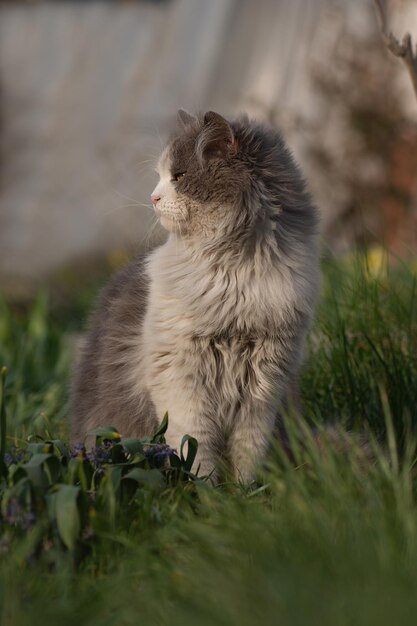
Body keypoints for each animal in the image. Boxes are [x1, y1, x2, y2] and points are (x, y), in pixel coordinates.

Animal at [71, 109, 318, 480]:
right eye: (160, 177)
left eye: (179, 176)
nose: (153, 198)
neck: (233, 276)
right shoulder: (182, 381)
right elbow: (195, 447)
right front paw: (204, 489)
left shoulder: (265, 385)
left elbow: (249, 453)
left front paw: (245, 490)